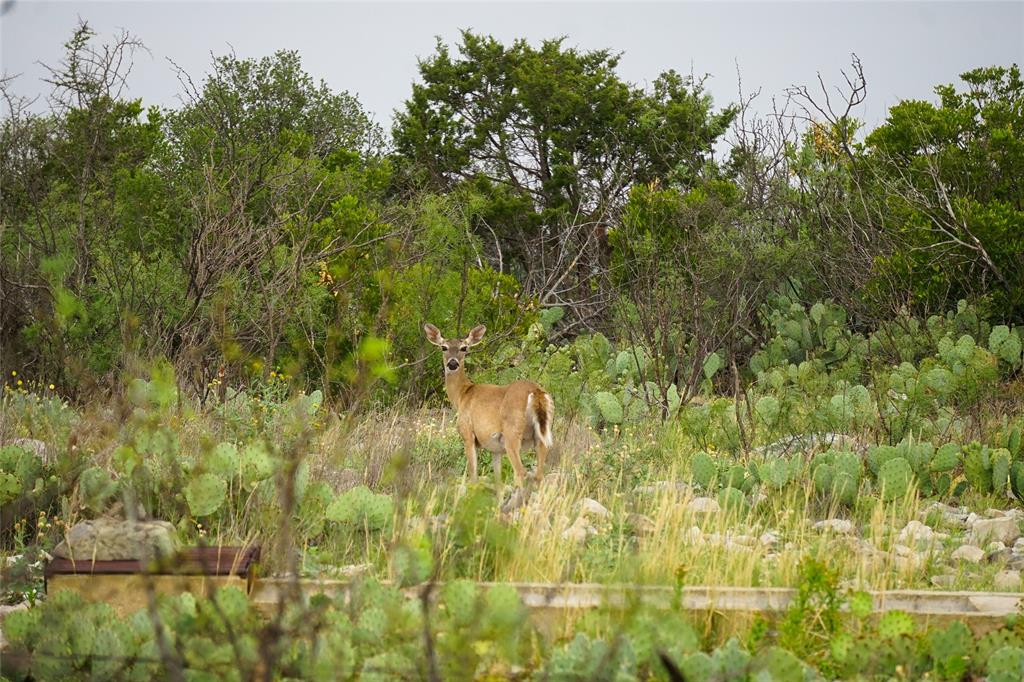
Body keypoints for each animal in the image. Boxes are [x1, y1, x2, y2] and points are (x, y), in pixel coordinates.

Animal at [421, 321, 552, 485]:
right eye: (443, 347)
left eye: (464, 348)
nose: (452, 363)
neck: (462, 395)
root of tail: (536, 392)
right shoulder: (495, 448)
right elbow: (497, 478)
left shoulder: (467, 433)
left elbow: (473, 475)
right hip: (542, 434)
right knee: (539, 474)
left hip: (512, 431)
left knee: (520, 472)